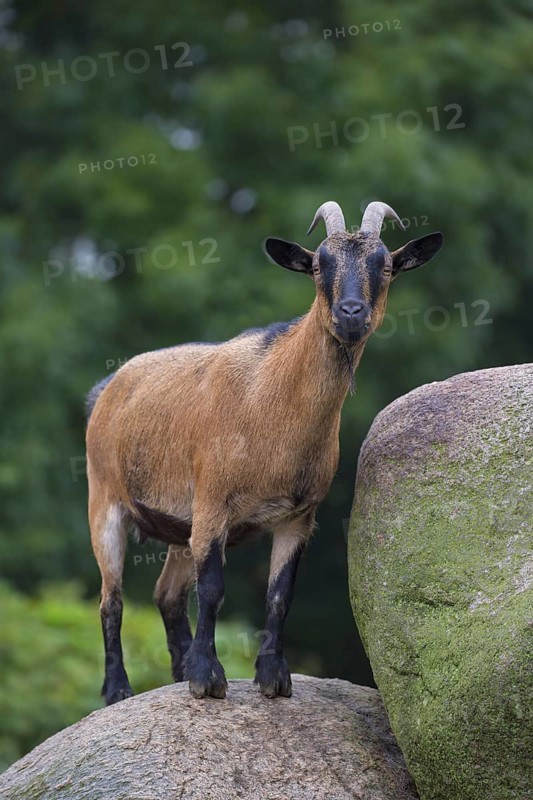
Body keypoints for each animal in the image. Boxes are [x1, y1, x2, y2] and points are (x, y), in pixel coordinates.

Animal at [86, 200, 443, 703]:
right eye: (318, 265)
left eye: (386, 266)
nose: (351, 313)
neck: (269, 401)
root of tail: (107, 389)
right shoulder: (213, 502)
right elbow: (212, 589)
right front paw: (207, 678)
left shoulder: (298, 515)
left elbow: (280, 593)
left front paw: (273, 678)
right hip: (105, 501)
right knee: (111, 599)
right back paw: (119, 689)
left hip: (178, 525)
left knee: (166, 594)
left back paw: (175, 671)